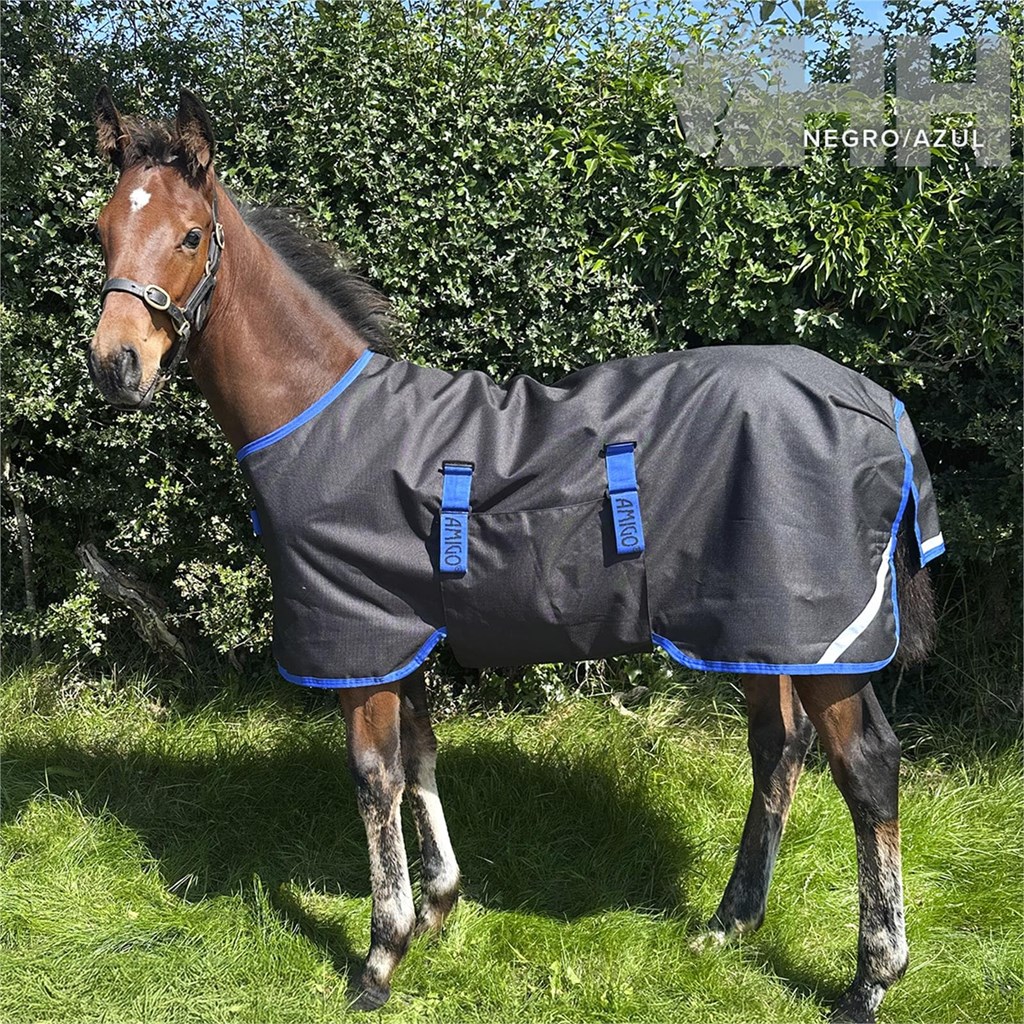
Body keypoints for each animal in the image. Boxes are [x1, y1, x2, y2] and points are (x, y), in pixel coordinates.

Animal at [88, 87, 943, 1023]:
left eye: (189, 236)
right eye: (102, 228)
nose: (116, 365)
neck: (324, 417)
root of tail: (875, 402)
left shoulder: (362, 640)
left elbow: (375, 779)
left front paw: (380, 955)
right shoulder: (404, 634)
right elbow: (421, 756)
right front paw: (437, 906)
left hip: (824, 642)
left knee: (867, 772)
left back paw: (871, 977)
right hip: (756, 632)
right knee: (778, 752)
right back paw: (730, 923)